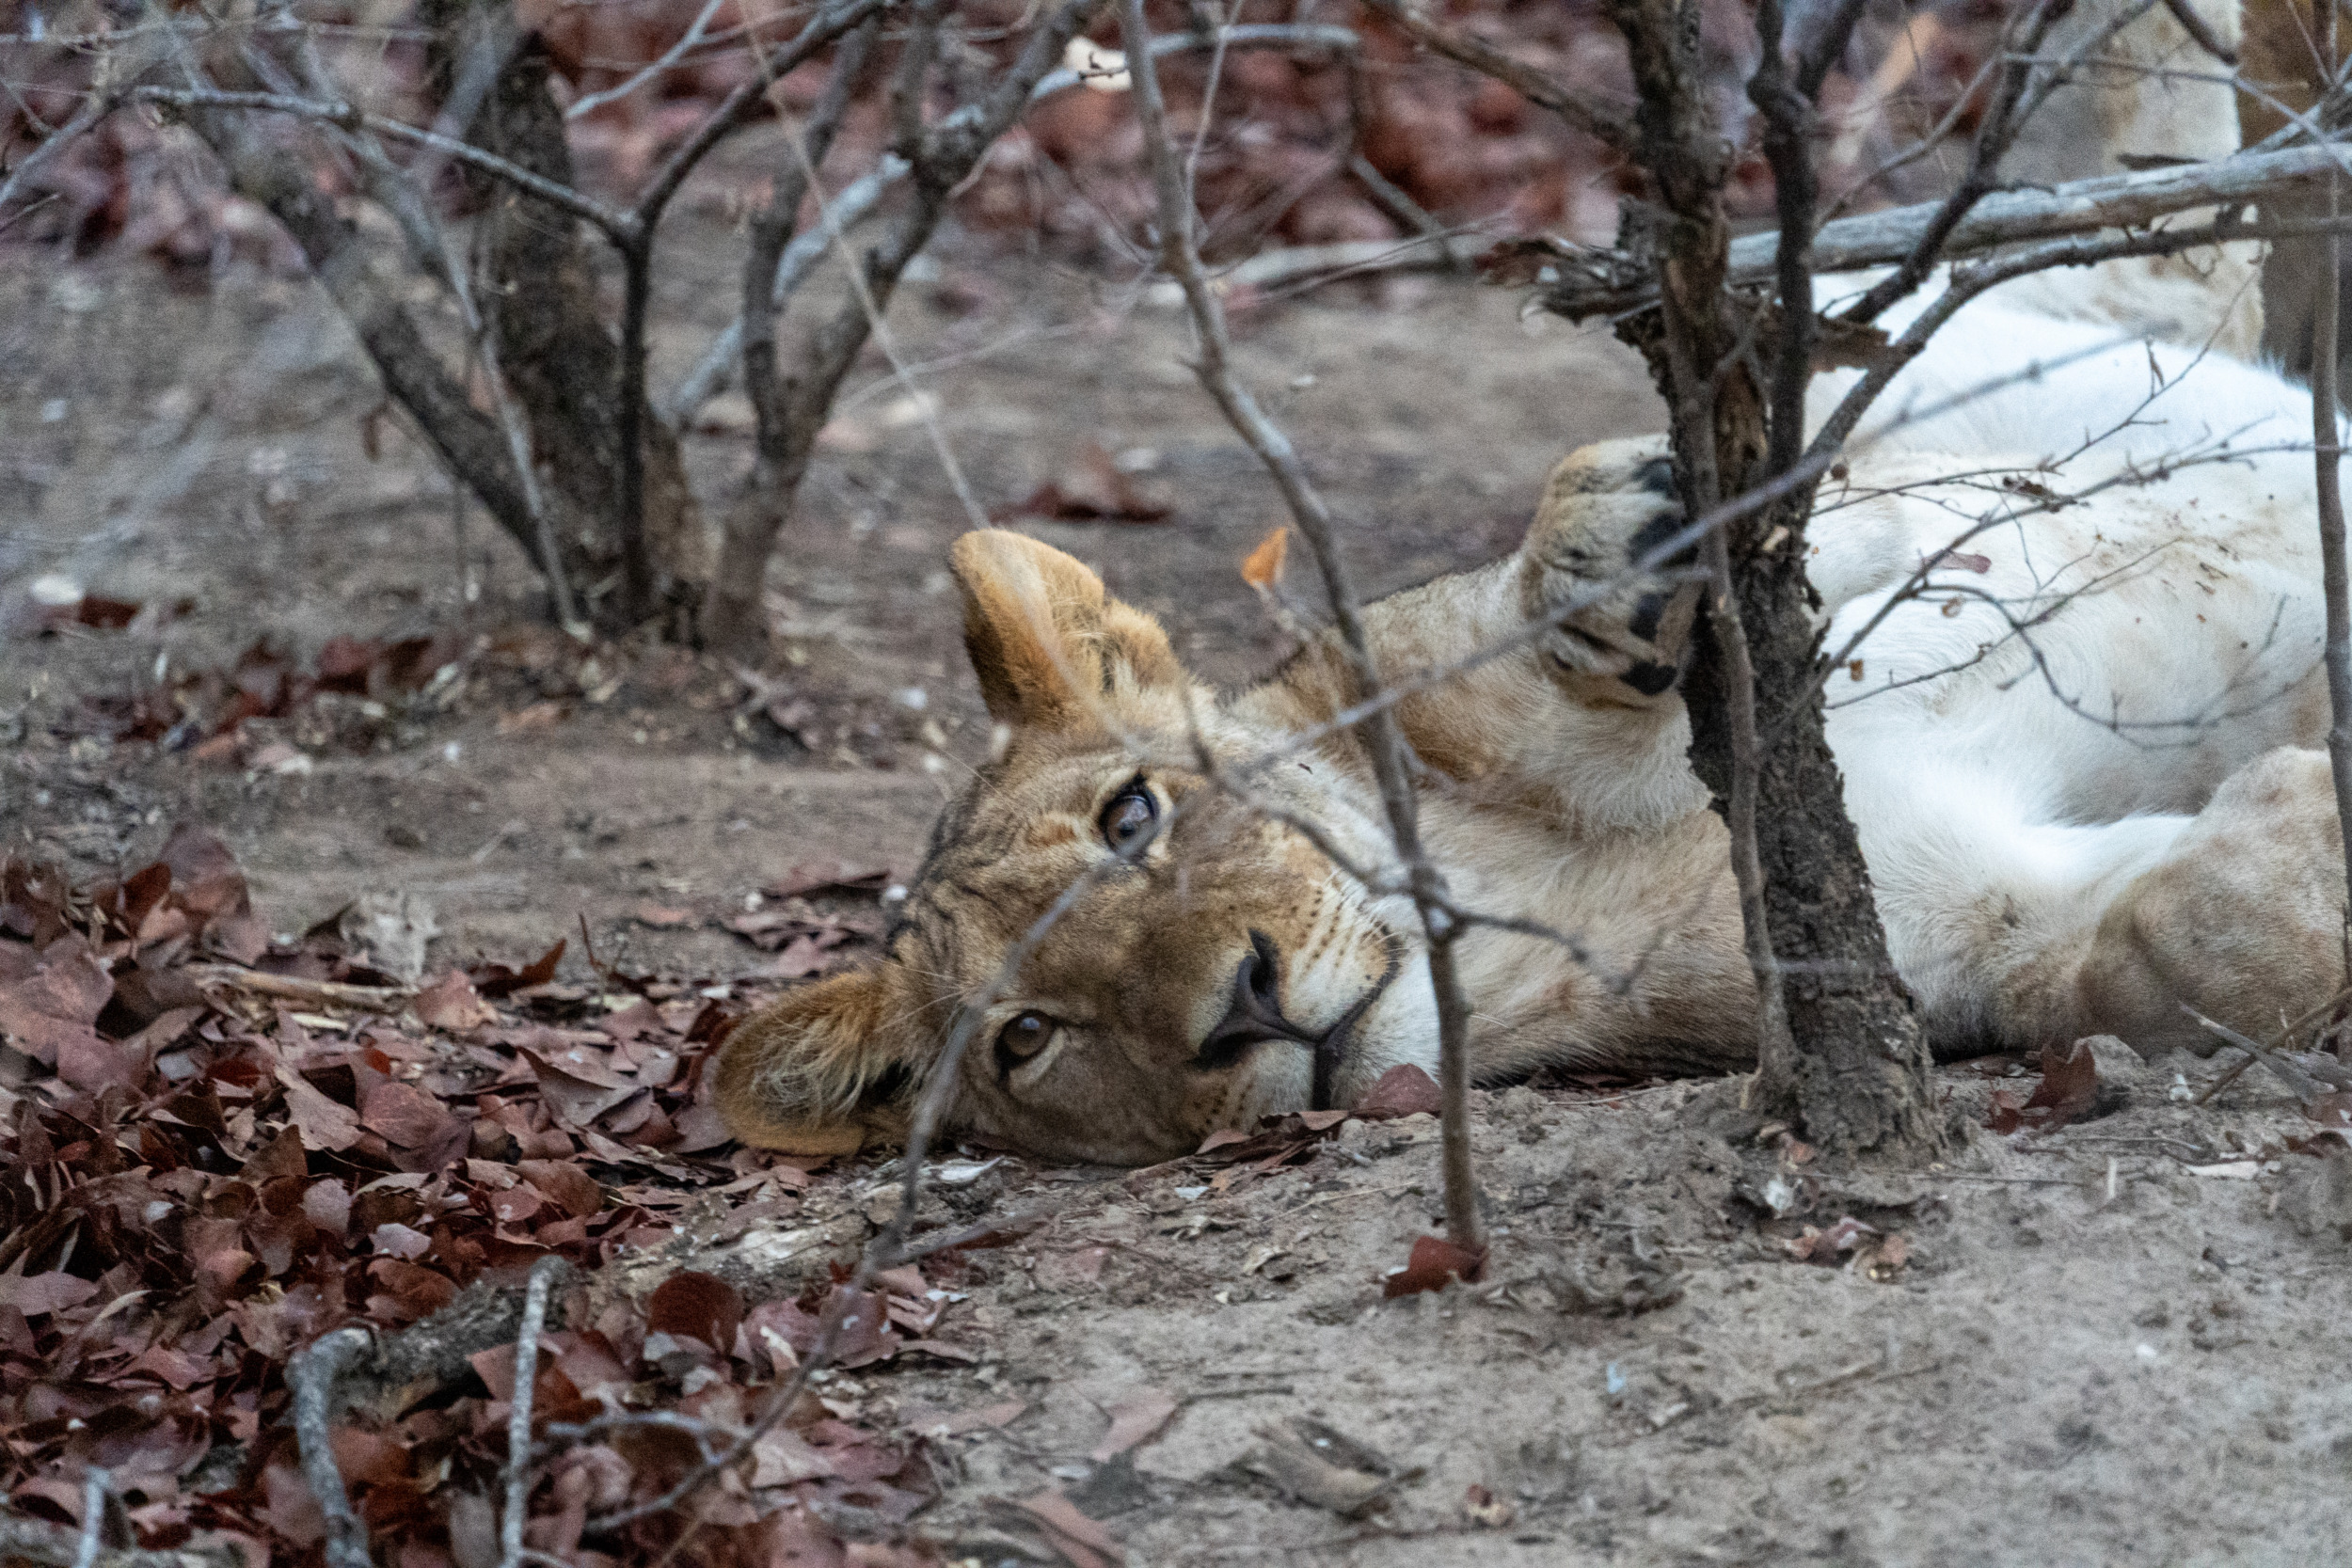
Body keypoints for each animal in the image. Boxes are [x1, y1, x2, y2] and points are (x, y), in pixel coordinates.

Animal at [715, 0, 2352, 1165]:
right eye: (1024, 1039)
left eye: (1134, 816)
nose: (1240, 1002)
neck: (1520, 884)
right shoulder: (1909, 937)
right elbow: (2164, 950)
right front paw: (2304, 818)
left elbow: (1517, 623)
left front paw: (1610, 547)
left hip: (2008, 314)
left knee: (2123, 191)